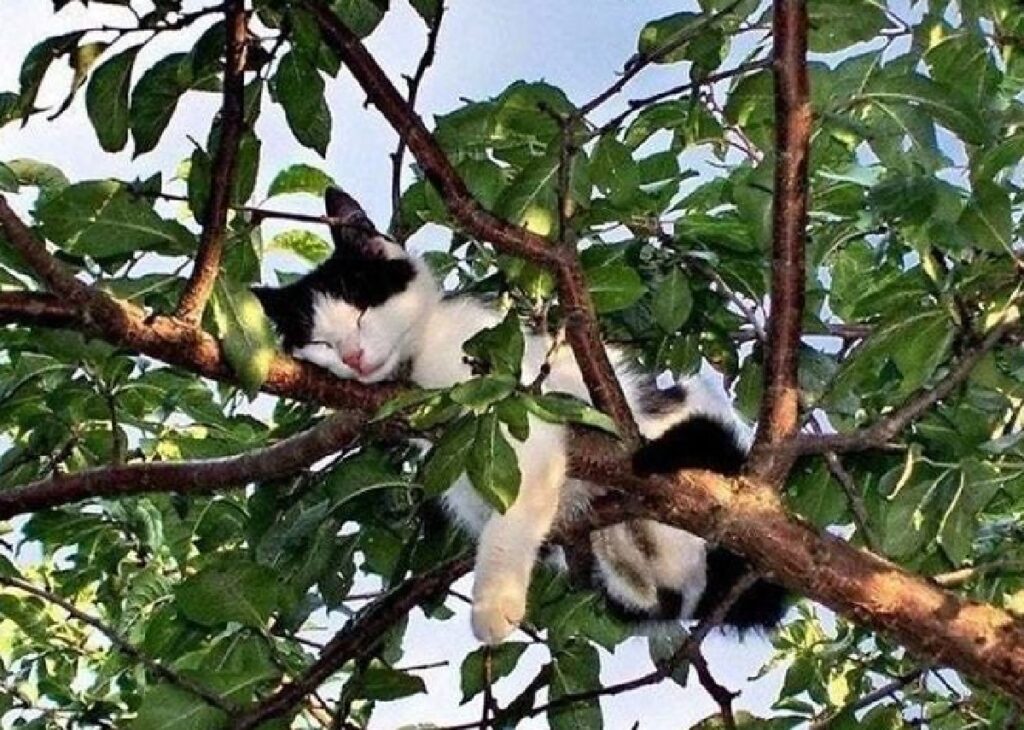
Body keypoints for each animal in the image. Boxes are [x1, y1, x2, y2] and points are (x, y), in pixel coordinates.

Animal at [253, 186, 782, 642]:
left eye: (363, 307)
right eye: (320, 342)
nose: (353, 356)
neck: (418, 362)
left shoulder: (519, 400)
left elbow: (512, 512)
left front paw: (494, 602)